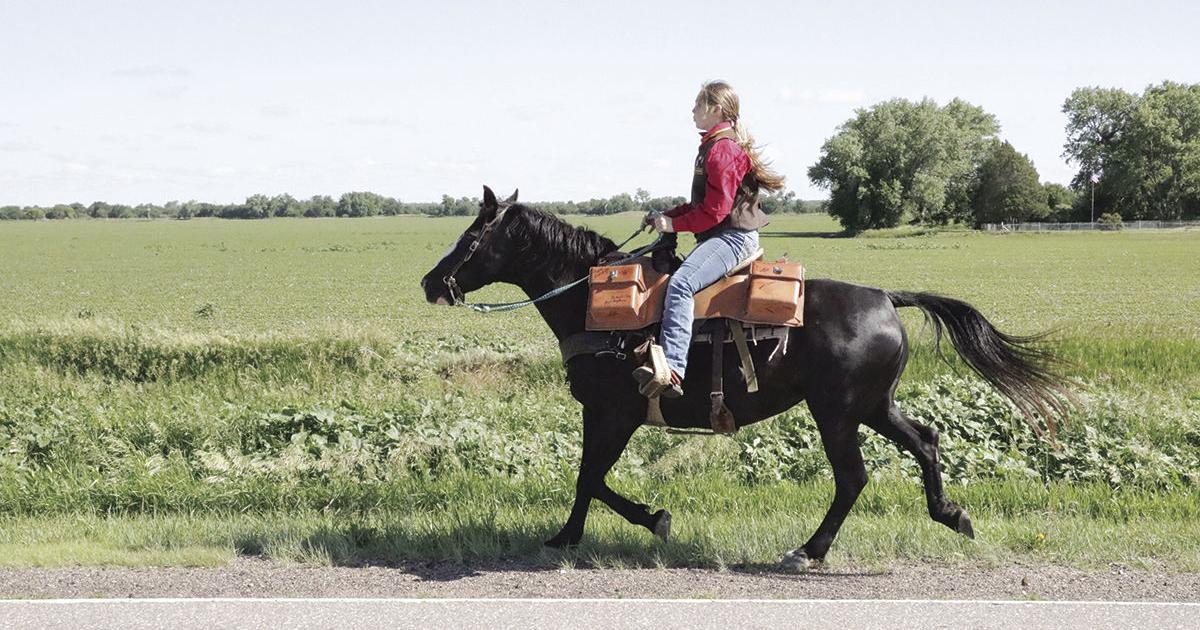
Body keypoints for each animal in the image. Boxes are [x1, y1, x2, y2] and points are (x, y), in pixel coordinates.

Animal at [420, 186, 1069, 570]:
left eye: (471, 236)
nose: (431, 282)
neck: (593, 301)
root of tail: (887, 296)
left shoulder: (615, 412)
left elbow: (591, 478)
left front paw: (642, 522)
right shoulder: (603, 414)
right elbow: (587, 479)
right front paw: (576, 534)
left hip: (837, 412)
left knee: (852, 477)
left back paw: (809, 551)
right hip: (872, 405)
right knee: (926, 442)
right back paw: (952, 514)